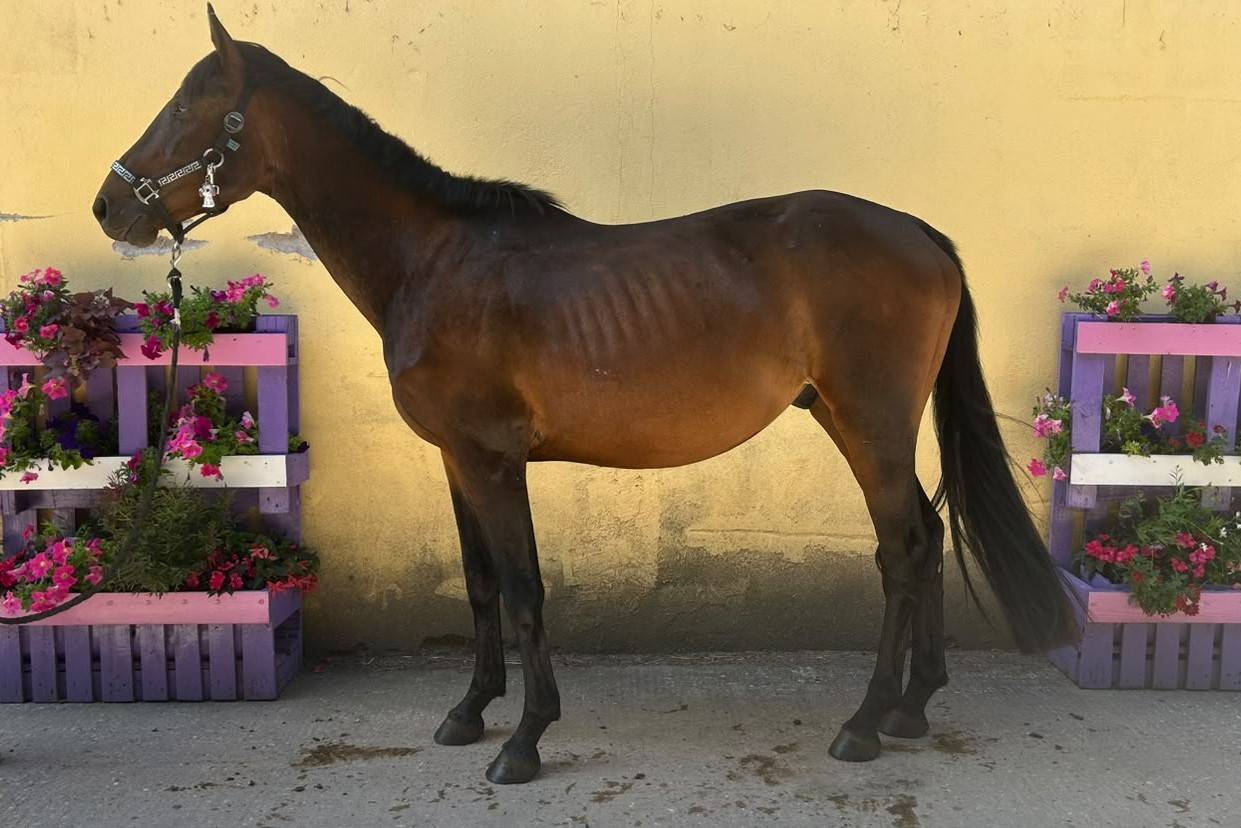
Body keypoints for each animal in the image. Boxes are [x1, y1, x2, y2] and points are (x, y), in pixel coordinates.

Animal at [92, 7, 1076, 785]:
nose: (109, 206)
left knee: (902, 549)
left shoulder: (494, 460)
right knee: (927, 537)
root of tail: (918, 231)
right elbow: (481, 586)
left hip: (868, 422)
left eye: (188, 108)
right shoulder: (457, 460)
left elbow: (526, 589)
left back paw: (865, 723)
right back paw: (913, 707)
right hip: (851, 420)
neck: (433, 263)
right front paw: (468, 712)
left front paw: (523, 740)